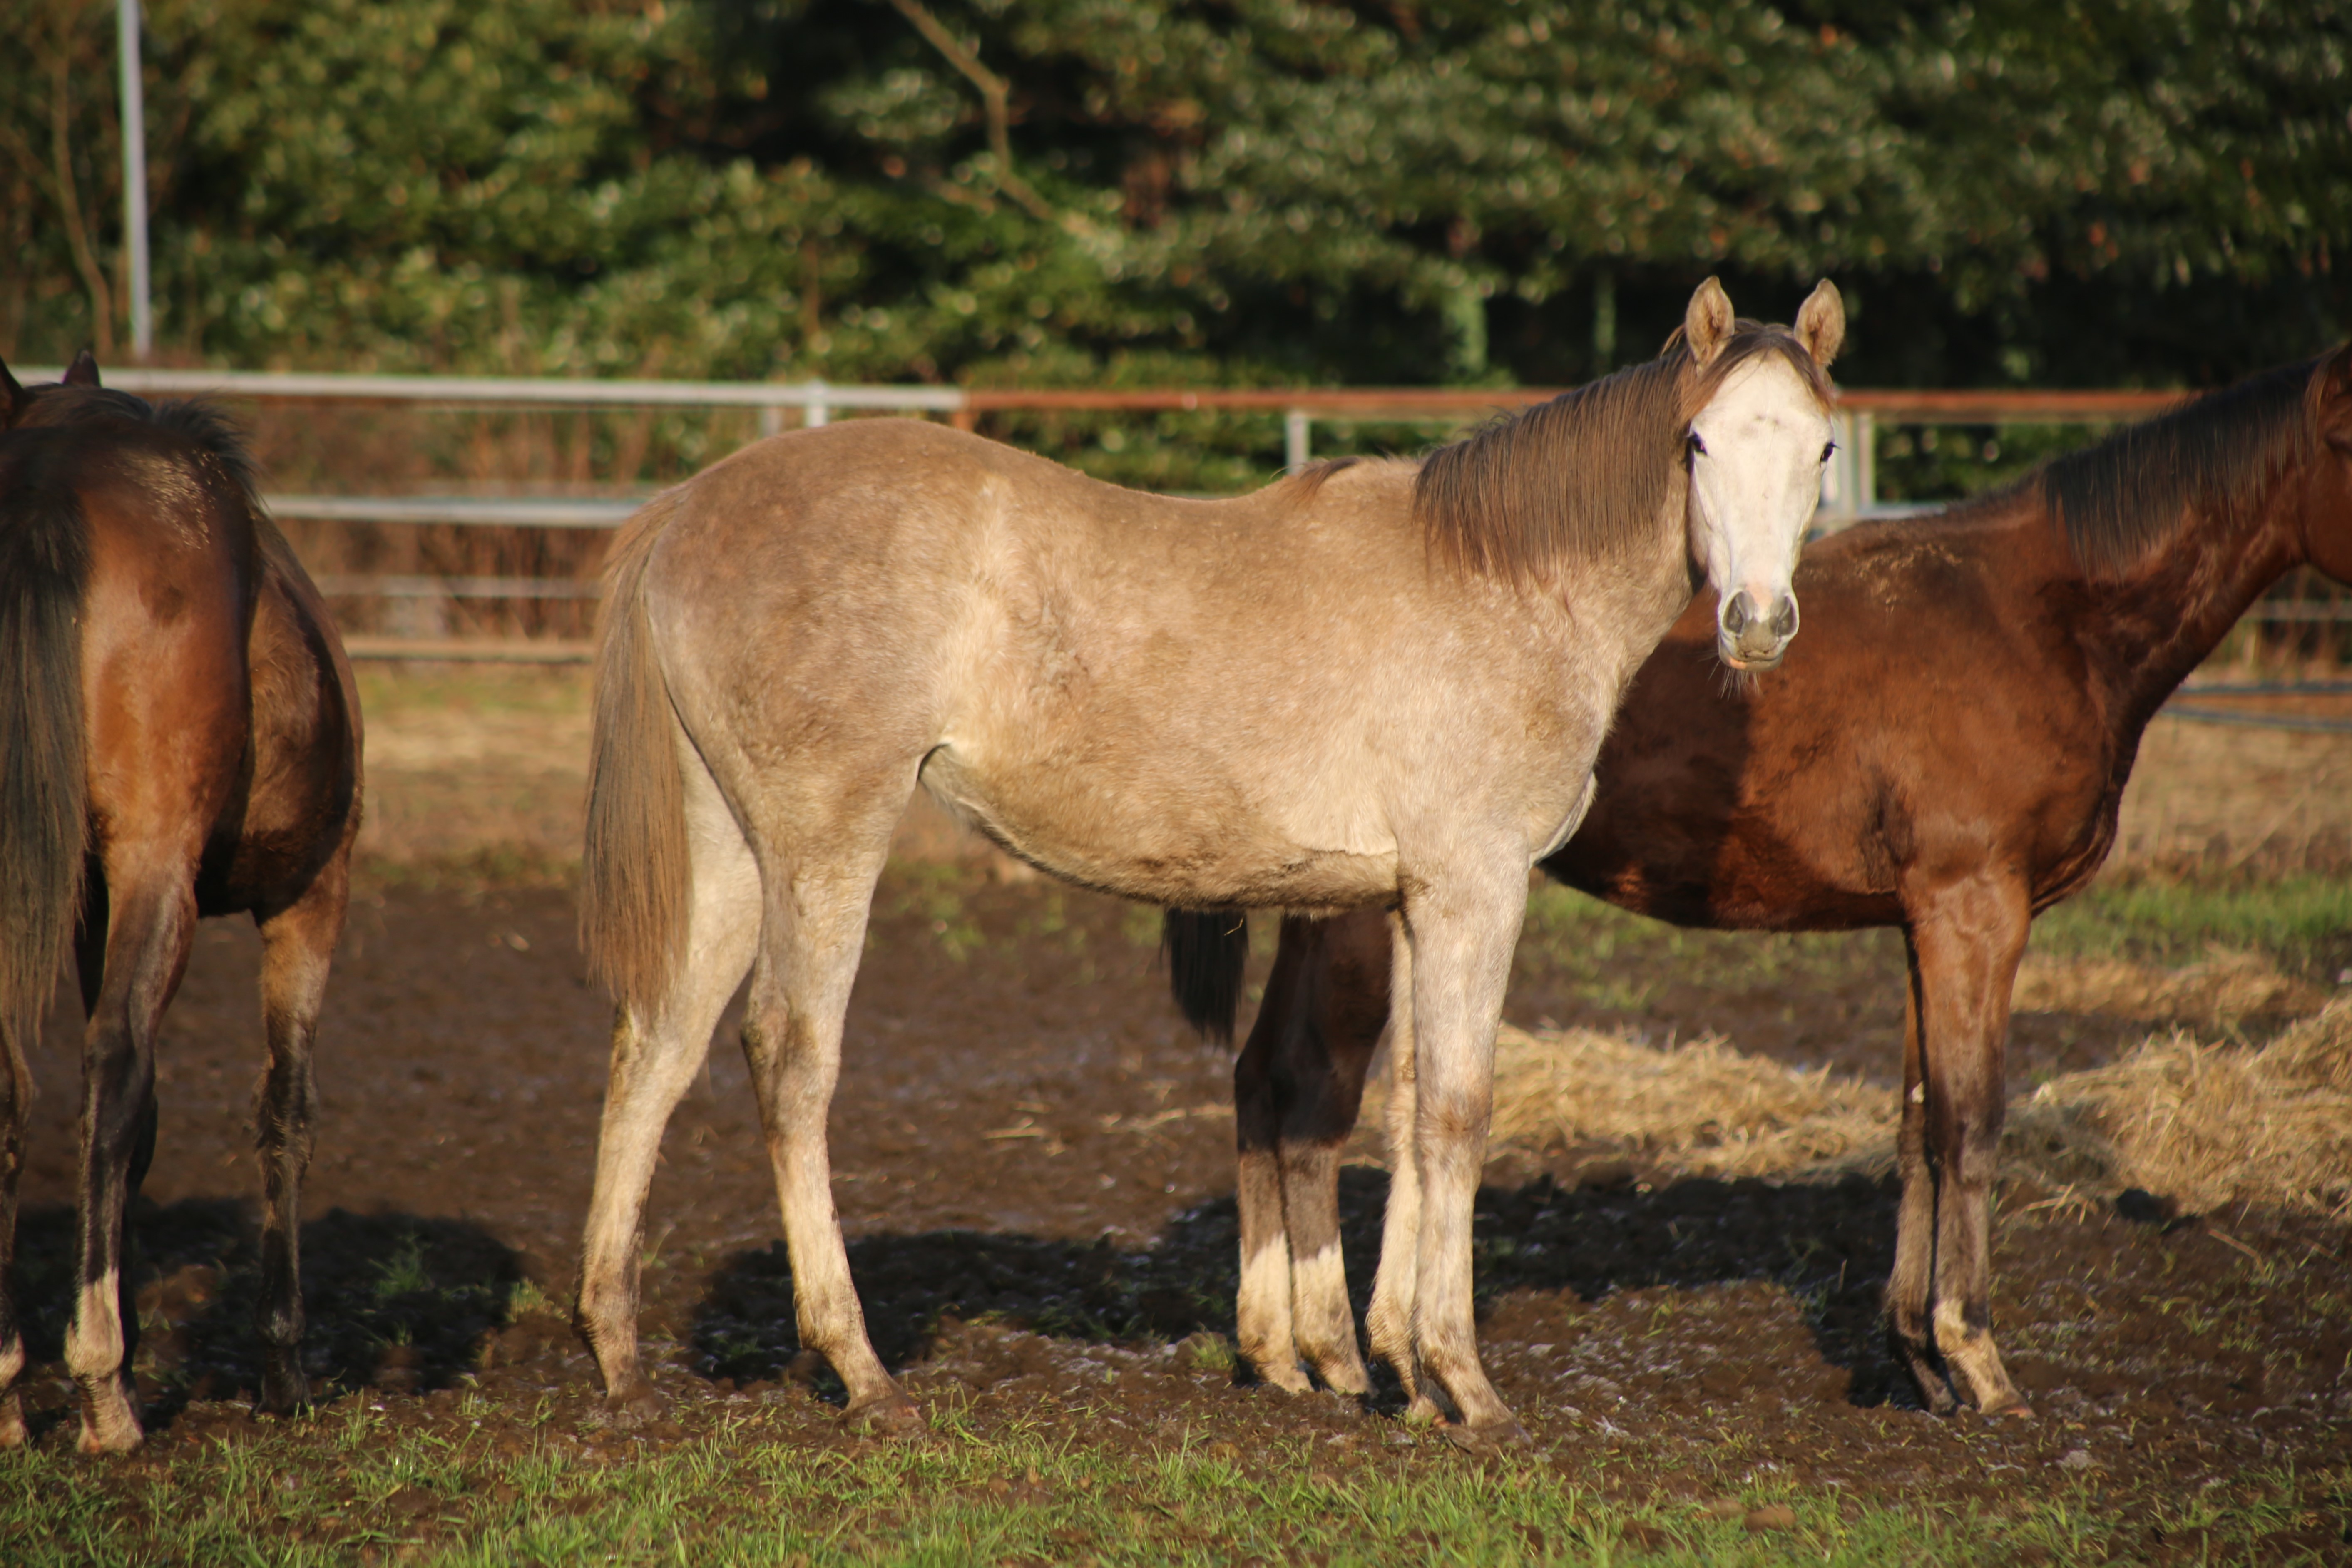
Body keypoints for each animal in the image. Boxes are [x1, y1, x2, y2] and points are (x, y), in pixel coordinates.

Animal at [0, 350, 362, 1457]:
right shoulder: (311, 896)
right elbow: (283, 1110)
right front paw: (282, 1362)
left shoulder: (85, 909)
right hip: (166, 860)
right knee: (117, 1066)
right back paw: (102, 1389)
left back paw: (12, 1389)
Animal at [578, 278, 1844, 1448]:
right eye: (1698, 442)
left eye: (1823, 447)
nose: (1758, 623)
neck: (1507, 586)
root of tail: (689, 507)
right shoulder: (1476, 889)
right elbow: (1456, 1113)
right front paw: (1464, 1381)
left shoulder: (1409, 900)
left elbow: (1399, 1109)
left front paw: (1395, 1367)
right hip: (825, 838)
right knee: (790, 1058)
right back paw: (860, 1367)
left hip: (731, 851)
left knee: (658, 1046)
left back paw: (619, 1355)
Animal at [1166, 340, 2352, 1420]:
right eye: (2348, 443)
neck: (2037, 618)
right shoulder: (1975, 908)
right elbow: (1969, 1123)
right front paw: (1976, 1358)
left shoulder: (1924, 920)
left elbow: (1916, 1125)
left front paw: (1916, 1355)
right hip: (1357, 912)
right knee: (1309, 1090)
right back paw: (1337, 1351)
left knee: (1265, 1080)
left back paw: (1290, 1353)